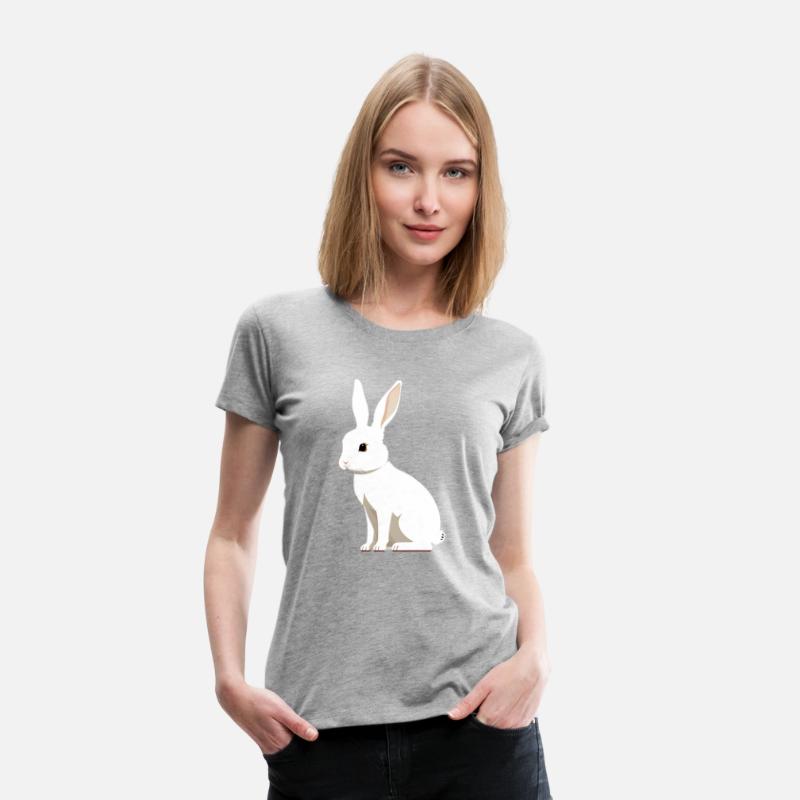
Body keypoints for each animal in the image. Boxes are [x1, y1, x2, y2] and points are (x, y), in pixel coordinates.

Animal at [338, 378, 447, 552]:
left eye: (363, 447)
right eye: (344, 441)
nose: (344, 462)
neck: (370, 473)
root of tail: (435, 535)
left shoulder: (384, 509)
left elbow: (382, 529)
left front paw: (378, 547)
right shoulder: (368, 511)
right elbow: (371, 530)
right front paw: (366, 546)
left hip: (405, 522)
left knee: (426, 544)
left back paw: (398, 546)